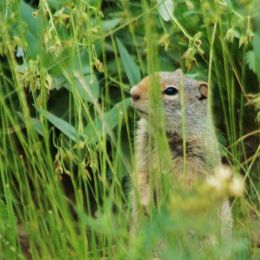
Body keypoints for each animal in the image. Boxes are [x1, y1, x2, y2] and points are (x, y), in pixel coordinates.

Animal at [130, 69, 232, 238]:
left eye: (171, 91)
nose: (133, 93)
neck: (162, 135)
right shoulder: (143, 150)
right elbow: (142, 175)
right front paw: (145, 201)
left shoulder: (195, 159)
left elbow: (184, 186)